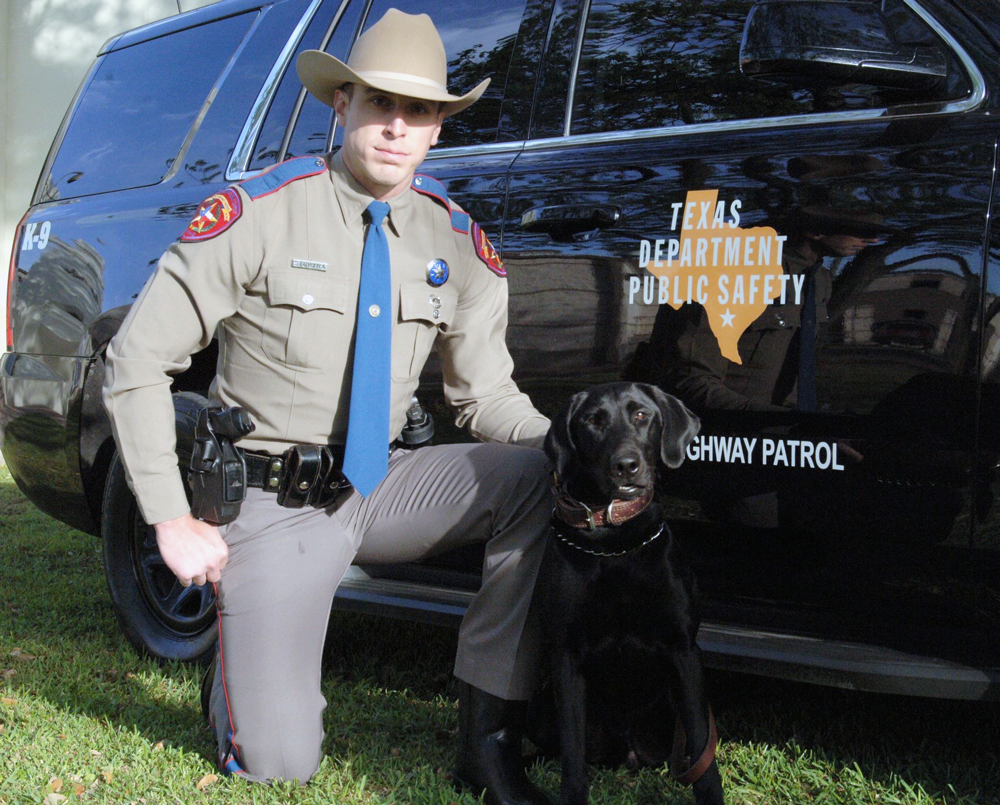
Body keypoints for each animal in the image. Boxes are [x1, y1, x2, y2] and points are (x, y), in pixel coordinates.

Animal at [536, 384, 724, 804]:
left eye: (641, 415)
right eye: (593, 421)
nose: (626, 465)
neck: (613, 543)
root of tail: (629, 752)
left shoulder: (684, 650)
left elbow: (702, 750)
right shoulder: (565, 656)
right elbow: (572, 754)